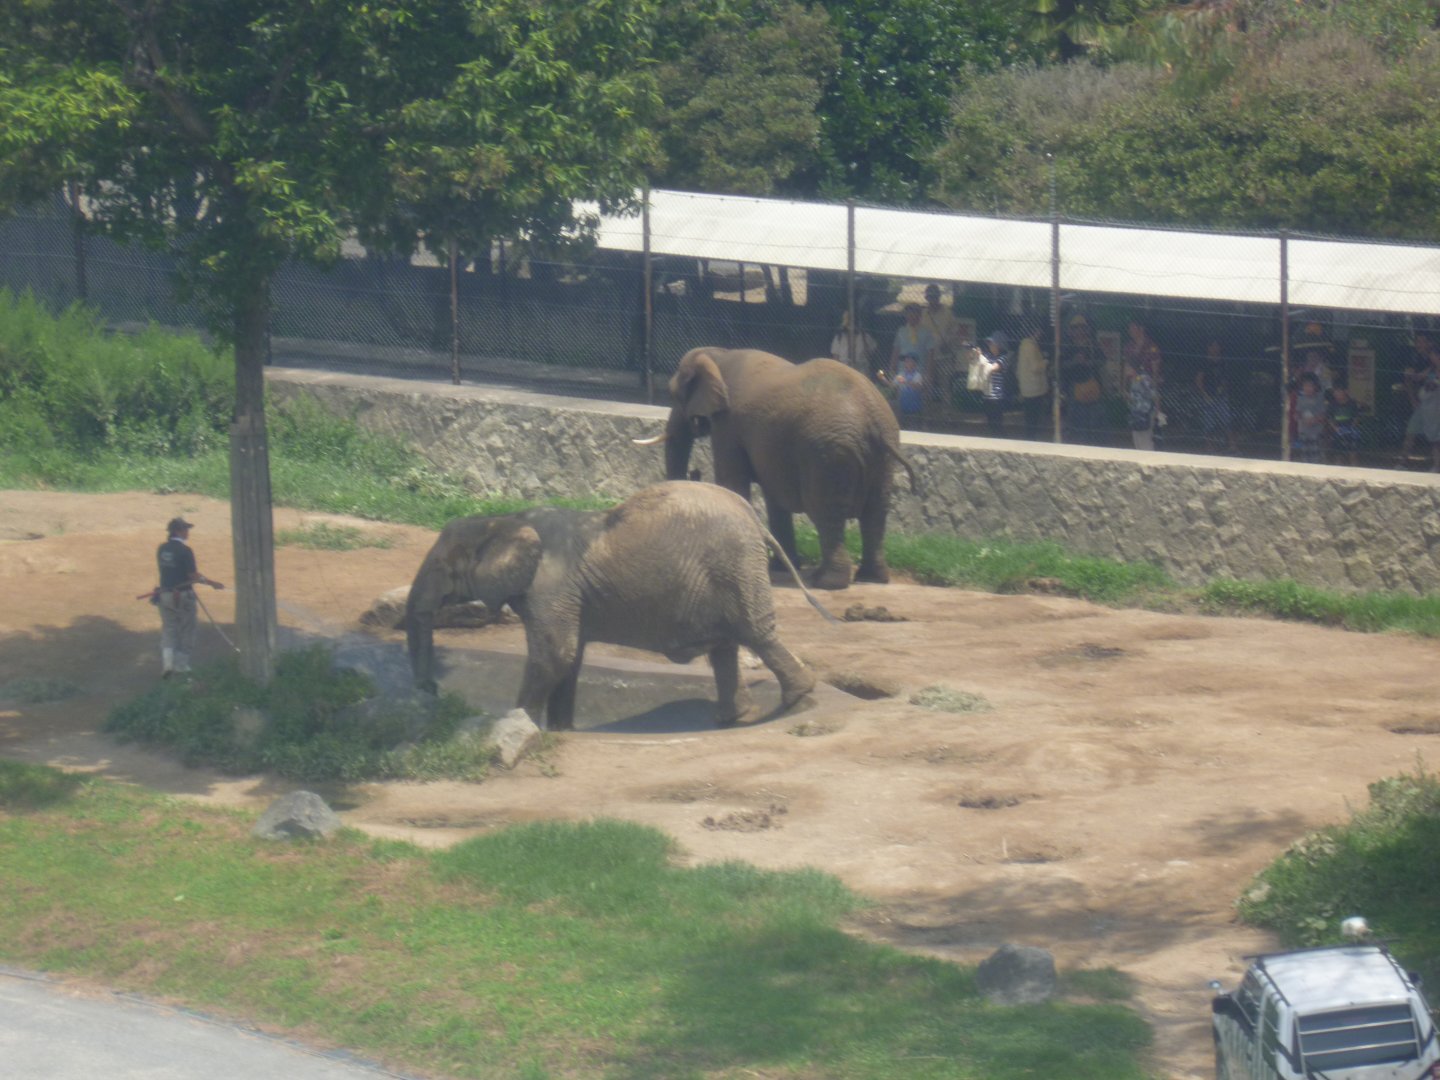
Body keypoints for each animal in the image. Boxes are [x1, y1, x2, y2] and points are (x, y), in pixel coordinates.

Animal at [405, 481, 828, 731]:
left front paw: (523, 722)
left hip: (734, 568)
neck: (501, 521)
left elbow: (554, 655)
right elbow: (570, 659)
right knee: (727, 646)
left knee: (756, 634)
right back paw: (731, 717)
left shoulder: (550, 586)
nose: (431, 691)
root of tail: (753, 517)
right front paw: (561, 731)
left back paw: (796, 700)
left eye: (442, 567)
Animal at [637, 347, 915, 590]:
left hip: (829, 456)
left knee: (826, 512)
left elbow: (733, 481)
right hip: (882, 455)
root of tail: (874, 421)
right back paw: (871, 578)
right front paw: (782, 567)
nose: (695, 473)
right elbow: (774, 497)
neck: (718, 353)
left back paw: (826, 582)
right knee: (875, 514)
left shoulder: (728, 424)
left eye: (674, 396)